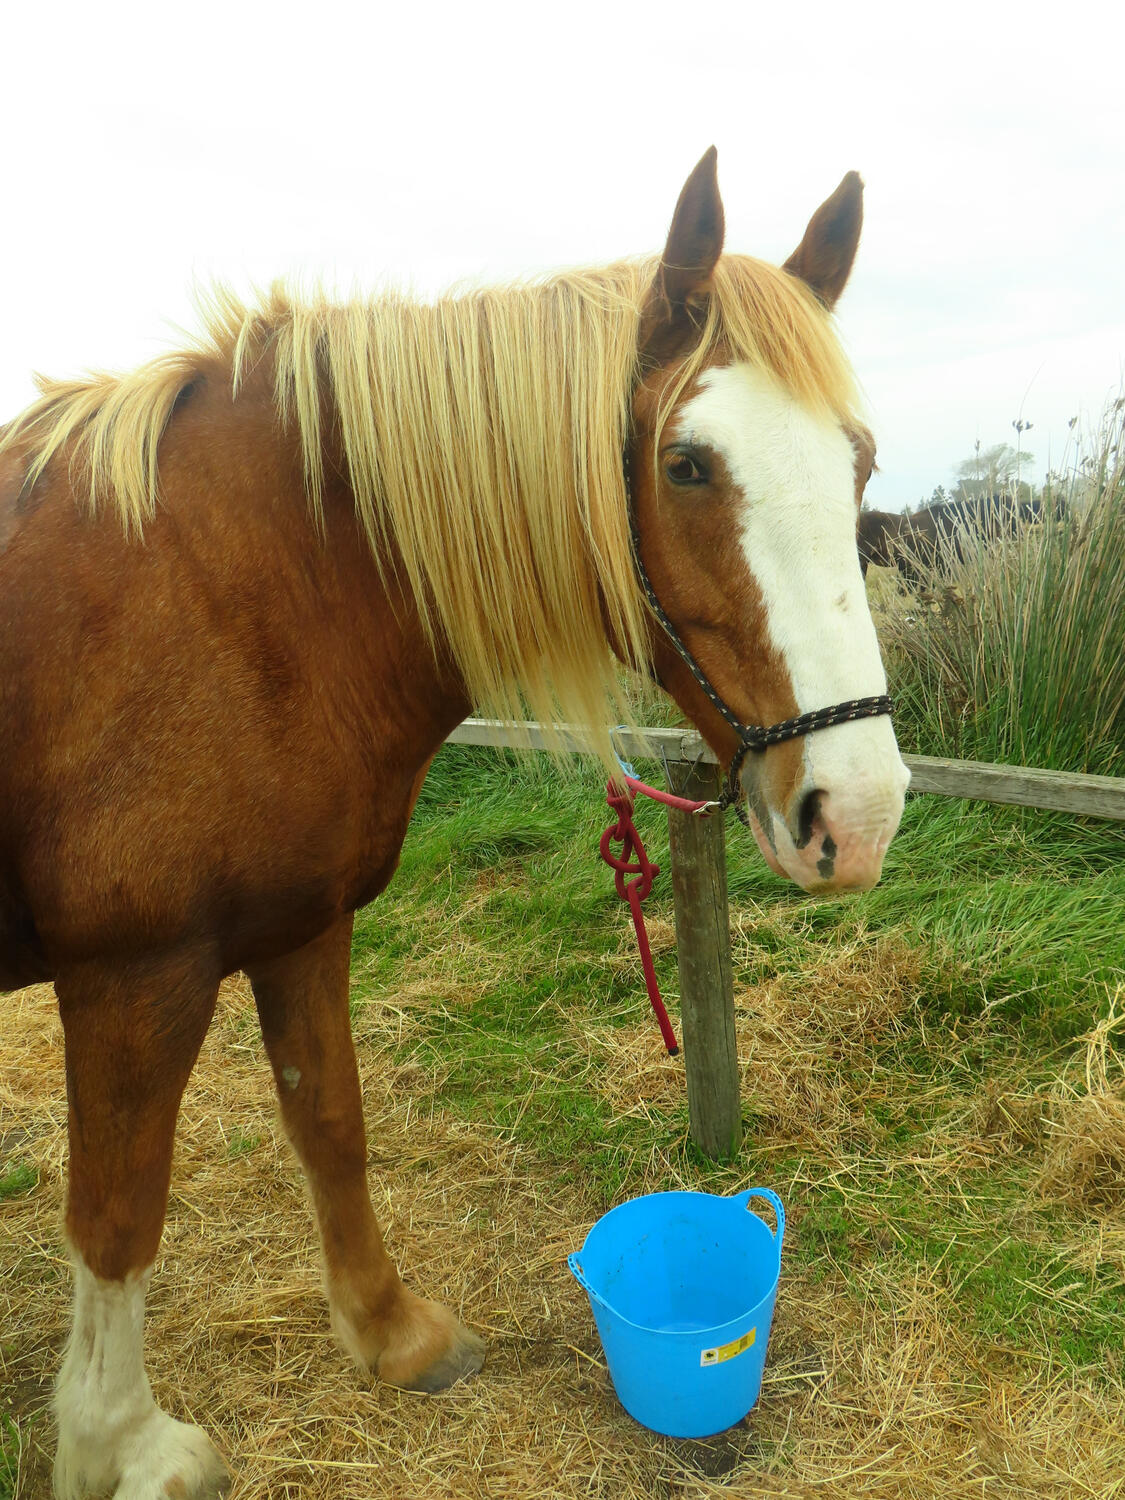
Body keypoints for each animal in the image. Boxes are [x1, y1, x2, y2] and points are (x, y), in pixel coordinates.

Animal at [0, 149, 909, 1499]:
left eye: (860, 464)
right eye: (688, 466)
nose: (859, 814)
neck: (231, 589)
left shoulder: (300, 923)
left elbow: (331, 1120)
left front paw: (393, 1336)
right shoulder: (133, 972)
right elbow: (117, 1214)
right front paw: (123, 1446)